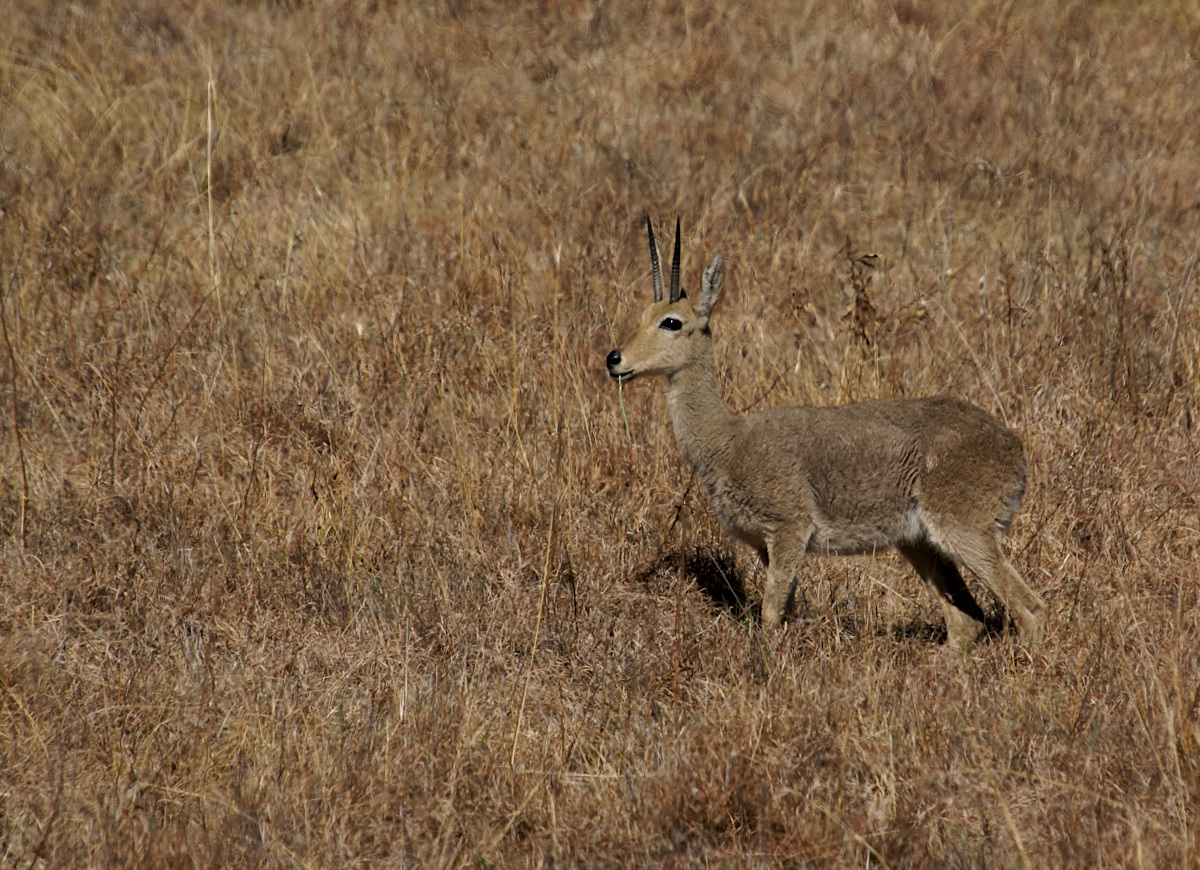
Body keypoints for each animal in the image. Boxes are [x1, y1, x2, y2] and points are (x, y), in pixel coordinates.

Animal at [604, 220, 1046, 648]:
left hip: (966, 532)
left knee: (1030, 608)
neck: (728, 441)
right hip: (919, 543)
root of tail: (1014, 447)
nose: (614, 359)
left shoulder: (789, 530)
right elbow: (785, 610)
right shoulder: (765, 545)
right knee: (967, 621)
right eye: (643, 314)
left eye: (671, 322)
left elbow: (770, 614)